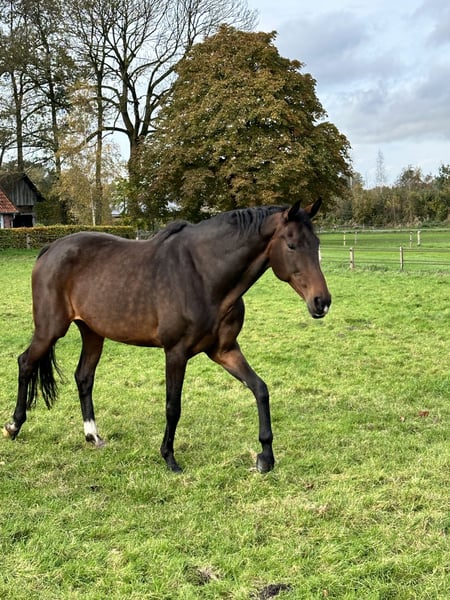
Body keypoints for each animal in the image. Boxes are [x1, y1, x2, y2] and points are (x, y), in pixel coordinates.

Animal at [3, 199, 331, 473]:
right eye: (292, 245)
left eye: (316, 243)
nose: (322, 302)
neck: (203, 275)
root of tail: (50, 249)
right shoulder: (176, 352)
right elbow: (173, 407)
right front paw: (169, 458)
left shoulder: (225, 351)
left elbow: (260, 389)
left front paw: (265, 458)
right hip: (50, 329)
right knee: (25, 363)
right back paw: (13, 426)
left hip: (93, 332)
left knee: (84, 377)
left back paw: (93, 436)